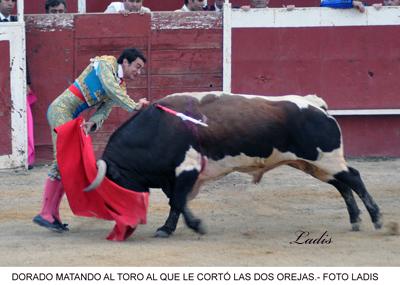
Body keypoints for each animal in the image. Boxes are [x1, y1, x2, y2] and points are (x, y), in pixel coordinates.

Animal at [85, 92, 382, 236]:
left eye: (115, 183)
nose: (123, 222)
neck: (159, 127)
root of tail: (316, 105)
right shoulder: (176, 176)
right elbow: (178, 203)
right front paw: (194, 225)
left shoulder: (186, 169)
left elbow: (177, 202)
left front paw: (167, 230)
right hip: (313, 164)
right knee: (342, 185)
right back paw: (356, 220)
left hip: (326, 158)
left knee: (353, 177)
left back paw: (376, 218)